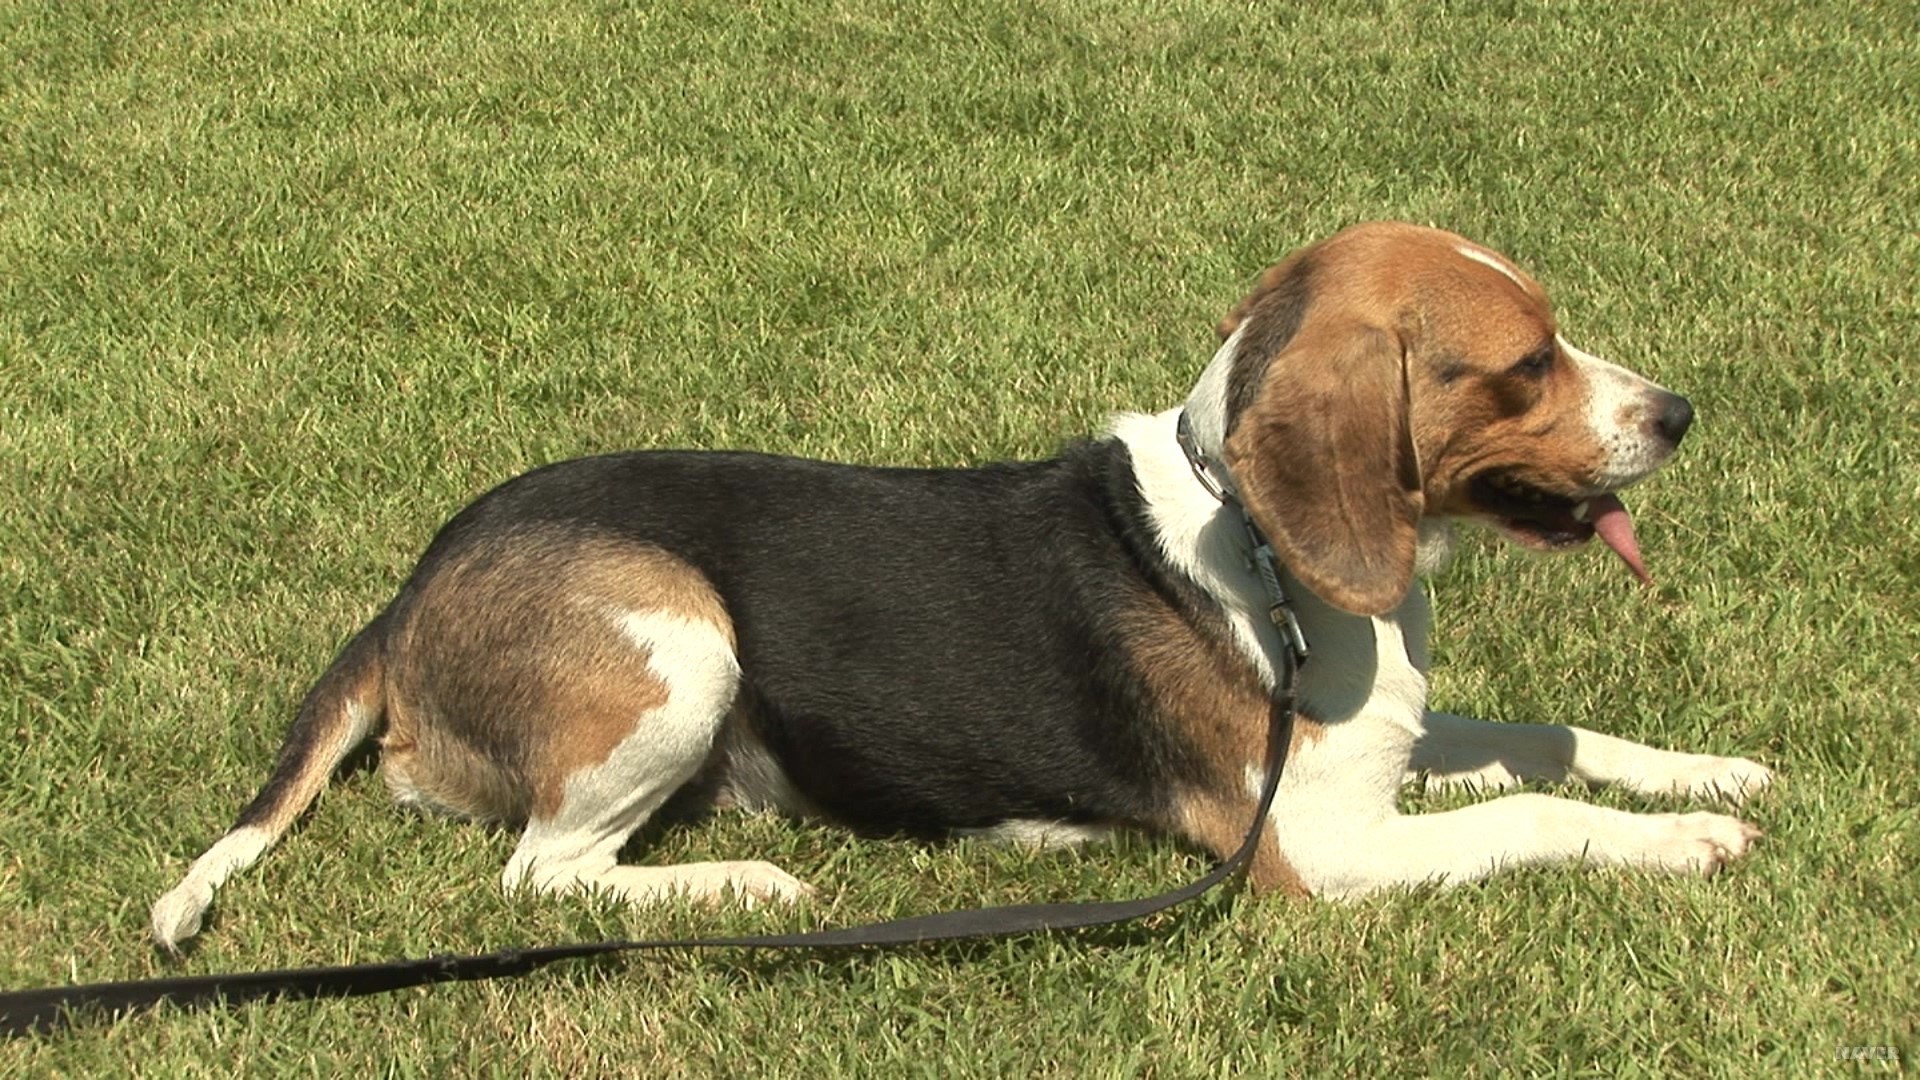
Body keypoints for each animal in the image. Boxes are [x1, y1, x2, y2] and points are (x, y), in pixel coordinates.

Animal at [145, 222, 1766, 945]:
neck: (1256, 545)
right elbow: (1534, 811)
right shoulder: (1316, 849)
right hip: (681, 641)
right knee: (546, 872)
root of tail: (419, 584)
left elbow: (1550, 739)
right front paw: (1687, 845)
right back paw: (744, 882)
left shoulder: (1383, 761)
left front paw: (1712, 773)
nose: (1681, 412)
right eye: (1526, 366)